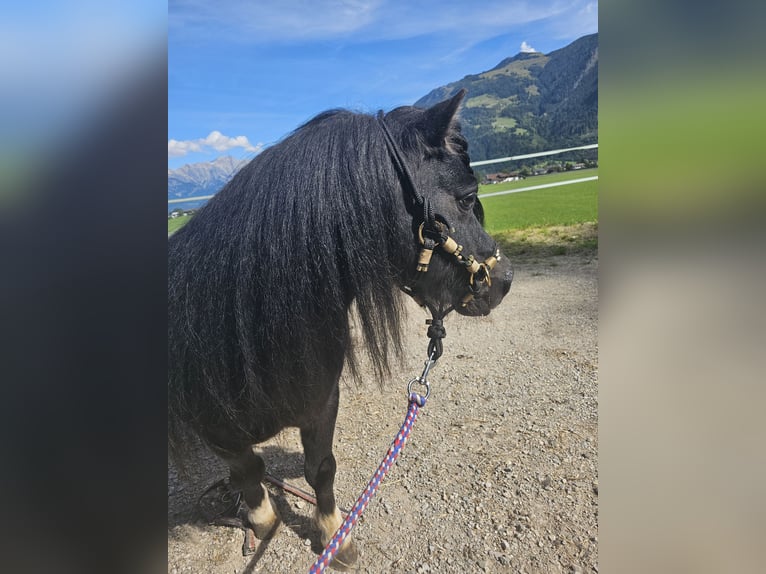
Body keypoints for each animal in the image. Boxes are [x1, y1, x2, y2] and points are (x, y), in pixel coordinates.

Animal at [168, 89, 513, 568]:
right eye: (466, 199)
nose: (504, 280)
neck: (247, 330)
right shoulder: (214, 429)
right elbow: (248, 470)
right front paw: (262, 520)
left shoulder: (322, 403)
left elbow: (320, 469)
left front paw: (335, 537)